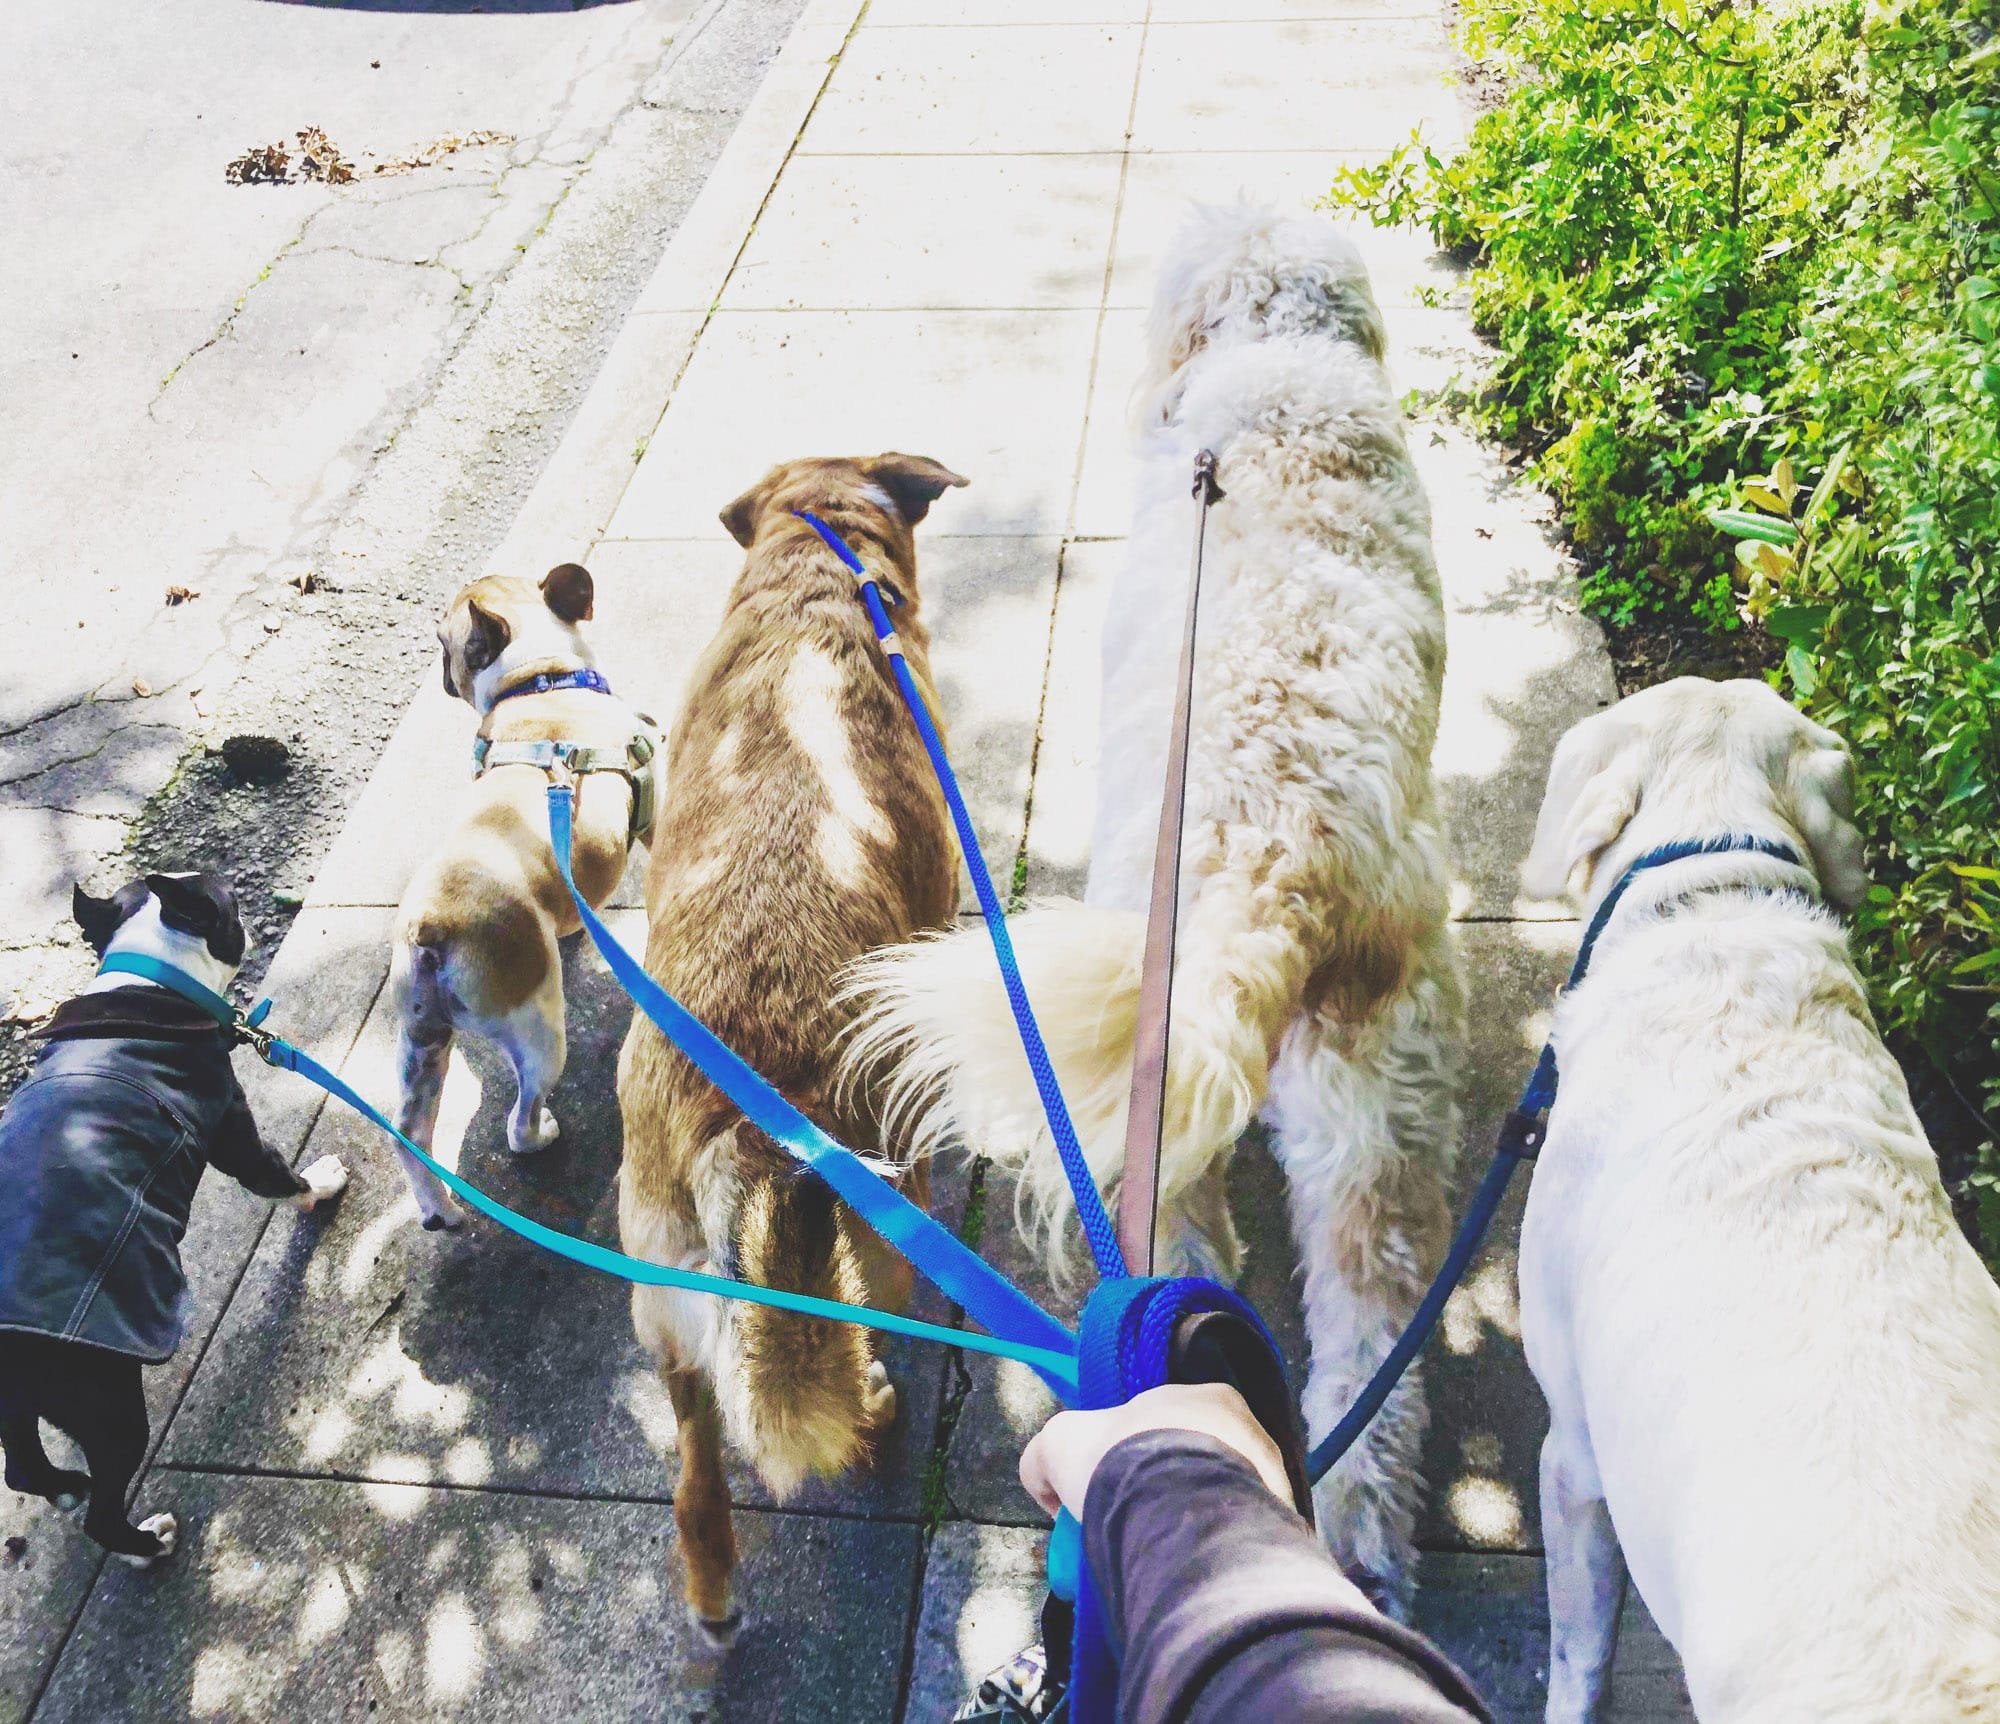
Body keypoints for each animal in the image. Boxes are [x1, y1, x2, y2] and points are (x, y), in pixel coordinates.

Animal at [0, 873, 347, 1564]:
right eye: (231, 902)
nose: (244, 912)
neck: (149, 978)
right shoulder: (235, 1134)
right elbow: (279, 1176)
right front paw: (321, 1185)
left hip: (26, 1403)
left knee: (23, 1466)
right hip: (104, 1399)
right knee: (102, 1510)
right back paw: (146, 1543)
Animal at [389, 562, 658, 1229]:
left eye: (444, 644)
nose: (440, 671)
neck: (537, 680)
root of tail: (433, 926)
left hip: (420, 1044)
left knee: (409, 1130)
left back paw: (438, 1211)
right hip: (539, 1033)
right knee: (519, 1116)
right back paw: (539, 1136)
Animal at [616, 453, 967, 1642]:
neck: (816, 577)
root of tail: (746, 1126)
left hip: (668, 1313)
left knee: (695, 1480)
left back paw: (713, 1599)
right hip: (880, 1234)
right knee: (865, 1343)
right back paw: (880, 1409)